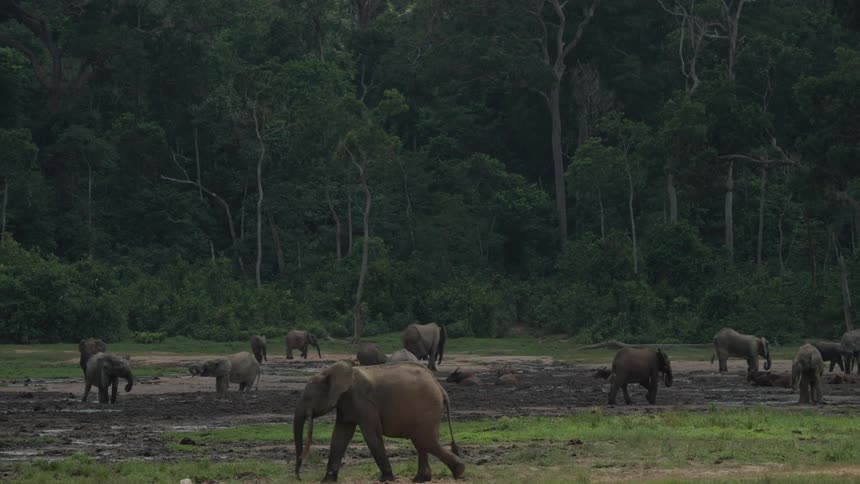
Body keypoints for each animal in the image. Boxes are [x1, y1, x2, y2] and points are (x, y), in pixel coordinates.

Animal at [294, 361, 465, 482]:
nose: (299, 478)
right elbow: (340, 436)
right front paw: (327, 480)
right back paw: (421, 479)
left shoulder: (363, 402)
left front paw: (385, 479)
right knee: (422, 441)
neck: (329, 372)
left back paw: (459, 471)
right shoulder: (345, 403)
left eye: (308, 398)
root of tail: (440, 388)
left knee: (424, 440)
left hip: (427, 408)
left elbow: (371, 435)